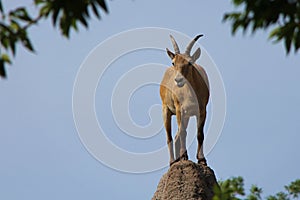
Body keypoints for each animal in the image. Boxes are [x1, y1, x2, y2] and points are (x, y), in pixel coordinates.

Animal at [159, 34, 209, 166]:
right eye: (173, 62)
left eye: (190, 62)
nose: (178, 80)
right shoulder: (179, 109)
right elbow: (182, 132)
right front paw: (184, 156)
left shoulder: (202, 110)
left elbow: (200, 133)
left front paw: (202, 159)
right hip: (166, 109)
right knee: (170, 137)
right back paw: (173, 161)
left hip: (186, 115)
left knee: (177, 136)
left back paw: (178, 159)